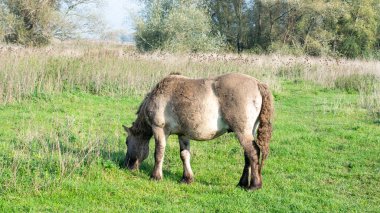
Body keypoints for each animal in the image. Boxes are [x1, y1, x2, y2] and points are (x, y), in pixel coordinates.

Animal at [121, 73, 274, 190]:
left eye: (127, 142)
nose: (127, 166)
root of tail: (257, 83)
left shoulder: (159, 130)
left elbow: (159, 153)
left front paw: (156, 176)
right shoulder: (183, 134)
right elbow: (184, 155)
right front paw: (187, 178)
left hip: (242, 132)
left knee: (253, 153)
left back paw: (254, 185)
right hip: (247, 132)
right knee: (248, 155)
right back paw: (242, 183)